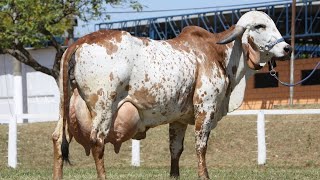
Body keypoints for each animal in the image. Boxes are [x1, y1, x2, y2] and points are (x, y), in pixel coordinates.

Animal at [53, 10, 292, 179]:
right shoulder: (206, 108)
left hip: (64, 105)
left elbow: (175, 150)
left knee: (58, 139)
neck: (218, 54)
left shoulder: (179, 119)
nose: (287, 48)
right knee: (97, 142)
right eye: (260, 26)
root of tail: (80, 41)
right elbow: (200, 146)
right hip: (104, 107)